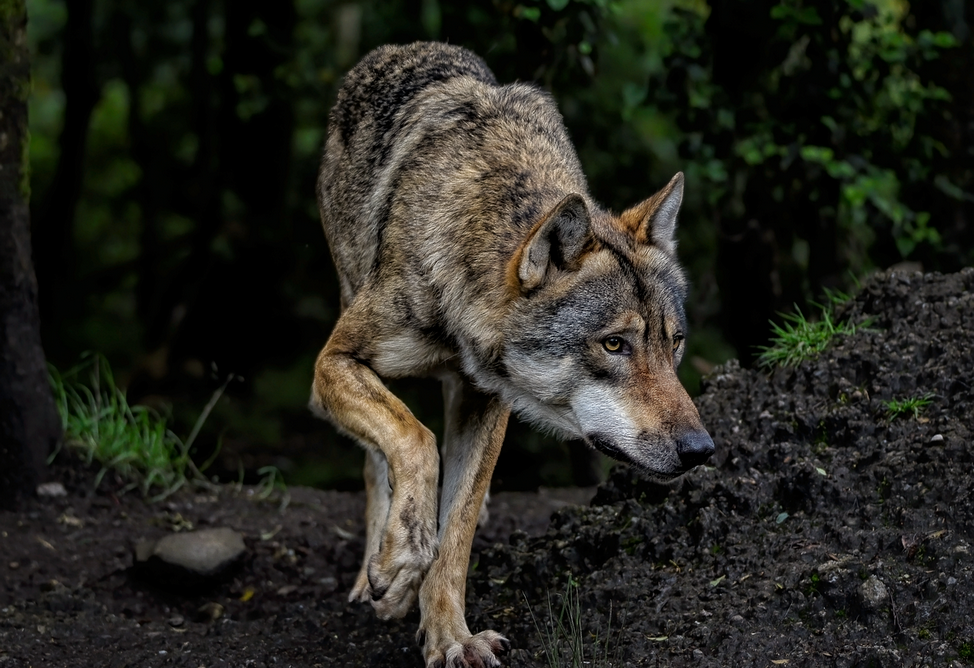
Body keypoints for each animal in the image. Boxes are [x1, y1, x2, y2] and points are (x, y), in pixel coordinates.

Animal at [310, 41, 715, 668]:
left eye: (673, 343)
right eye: (614, 344)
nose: (701, 449)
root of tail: (396, 50)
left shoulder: (487, 401)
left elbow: (457, 530)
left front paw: (450, 637)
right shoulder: (334, 362)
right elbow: (414, 440)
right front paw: (399, 562)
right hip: (349, 301)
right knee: (378, 457)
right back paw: (376, 571)